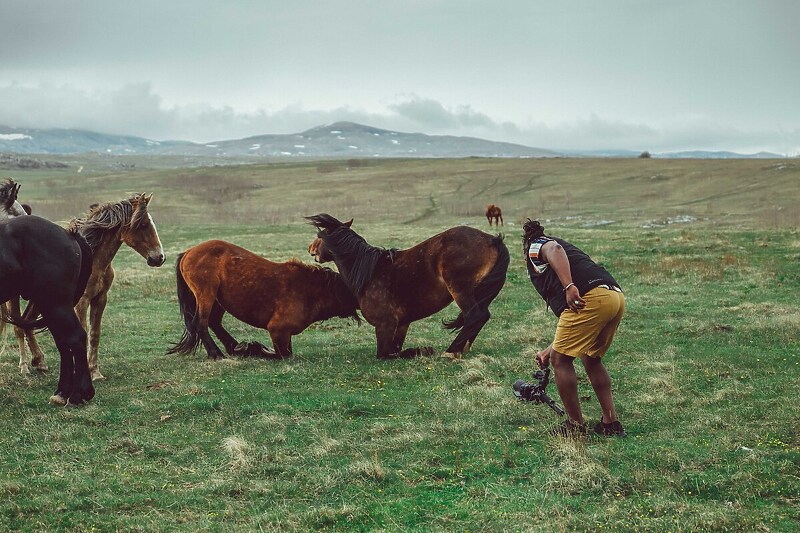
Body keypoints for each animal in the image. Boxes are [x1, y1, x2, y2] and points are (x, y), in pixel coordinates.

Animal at [0, 214, 95, 406]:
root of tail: (68, 235)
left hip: (57, 305)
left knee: (75, 338)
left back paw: (79, 393)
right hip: (48, 306)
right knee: (63, 342)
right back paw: (62, 392)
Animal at [17, 193, 166, 380]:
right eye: (144, 224)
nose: (159, 257)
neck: (94, 260)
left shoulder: (100, 298)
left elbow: (95, 334)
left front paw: (95, 372)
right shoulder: (82, 301)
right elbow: (84, 333)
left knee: (26, 321)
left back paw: (39, 361)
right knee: (18, 325)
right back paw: (24, 367)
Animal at [167, 240, 358, 358]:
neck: (308, 289)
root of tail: (189, 252)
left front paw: (250, 348)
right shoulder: (278, 331)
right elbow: (283, 355)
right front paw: (256, 349)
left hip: (217, 299)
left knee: (214, 322)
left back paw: (235, 348)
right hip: (206, 293)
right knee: (201, 322)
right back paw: (217, 354)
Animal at [306, 214, 506, 360]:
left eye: (319, 236)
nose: (310, 249)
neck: (370, 271)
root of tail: (492, 240)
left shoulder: (385, 325)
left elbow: (386, 354)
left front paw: (421, 350)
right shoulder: (402, 324)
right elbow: (395, 349)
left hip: (460, 290)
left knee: (476, 315)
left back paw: (451, 351)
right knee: (480, 316)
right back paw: (463, 348)